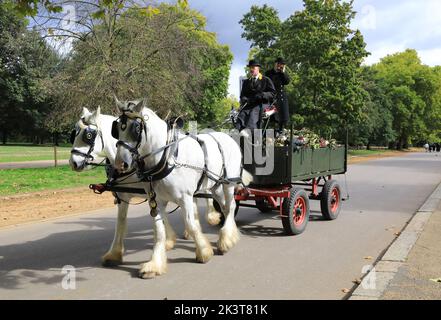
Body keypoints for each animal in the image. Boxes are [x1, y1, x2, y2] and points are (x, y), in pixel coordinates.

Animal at [70, 107, 223, 268]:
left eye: (88, 135)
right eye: (74, 133)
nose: (73, 162)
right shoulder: (125, 196)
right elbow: (122, 223)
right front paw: (114, 253)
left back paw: (212, 217)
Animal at [113, 99, 251, 278]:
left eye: (136, 128)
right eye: (117, 128)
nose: (120, 164)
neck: (167, 157)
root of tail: (229, 137)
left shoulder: (185, 197)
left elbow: (191, 224)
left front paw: (204, 252)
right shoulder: (156, 200)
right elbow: (159, 230)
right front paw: (155, 264)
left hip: (229, 183)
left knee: (232, 205)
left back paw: (225, 240)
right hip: (215, 186)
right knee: (226, 208)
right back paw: (230, 236)